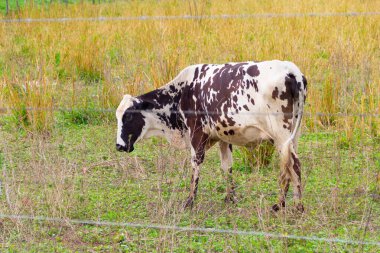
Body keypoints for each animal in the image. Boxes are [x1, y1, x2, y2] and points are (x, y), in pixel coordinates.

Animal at [116, 60, 308, 211]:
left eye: (129, 116)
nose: (119, 145)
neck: (183, 91)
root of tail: (292, 71)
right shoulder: (223, 137)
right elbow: (227, 167)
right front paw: (230, 198)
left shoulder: (196, 135)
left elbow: (195, 167)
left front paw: (190, 201)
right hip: (293, 135)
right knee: (291, 166)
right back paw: (291, 204)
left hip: (281, 135)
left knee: (292, 165)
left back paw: (288, 205)